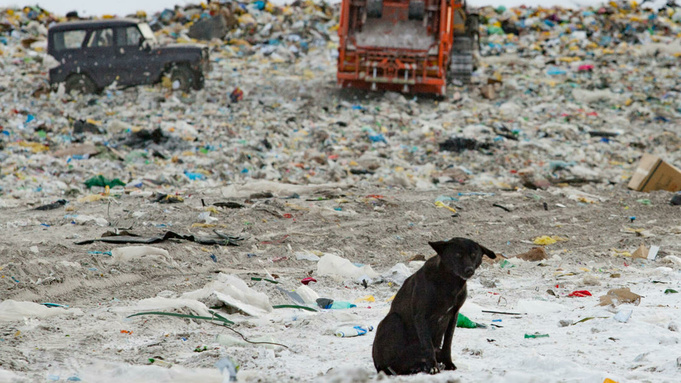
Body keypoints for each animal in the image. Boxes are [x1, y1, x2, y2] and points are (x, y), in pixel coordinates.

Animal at [372, 237, 494, 376]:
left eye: (473, 255)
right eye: (458, 255)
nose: (469, 270)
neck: (449, 282)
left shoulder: (453, 316)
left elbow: (447, 344)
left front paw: (448, 363)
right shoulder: (421, 316)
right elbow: (427, 344)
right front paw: (432, 366)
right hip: (392, 320)